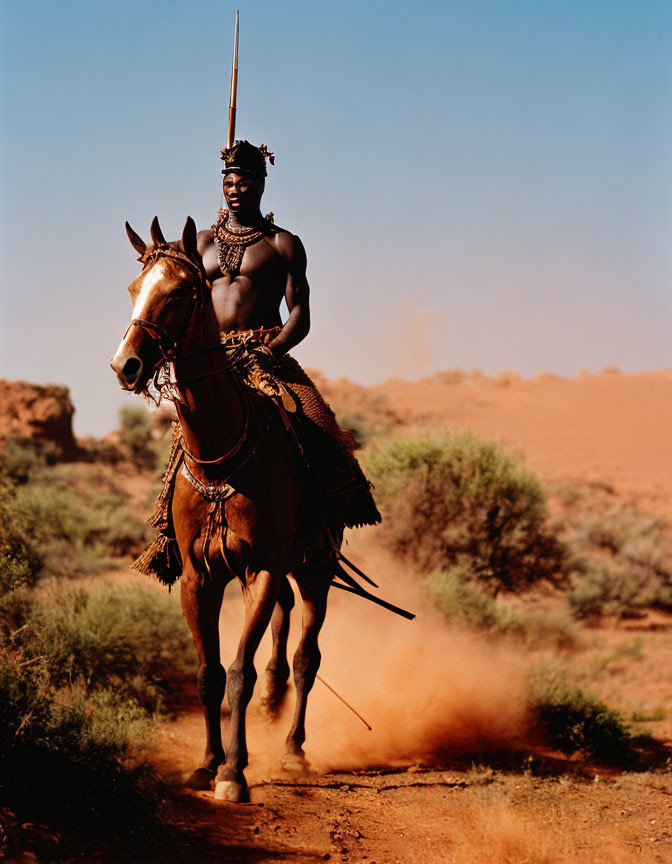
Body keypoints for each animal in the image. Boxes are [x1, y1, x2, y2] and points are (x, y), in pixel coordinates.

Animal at [109, 218, 336, 804]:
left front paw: (234, 773)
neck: (221, 453)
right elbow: (209, 674)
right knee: (284, 641)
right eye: (133, 288)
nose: (126, 365)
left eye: (179, 292)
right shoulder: (200, 576)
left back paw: (294, 750)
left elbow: (239, 672)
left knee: (306, 658)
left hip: (316, 569)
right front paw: (207, 763)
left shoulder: (260, 570)